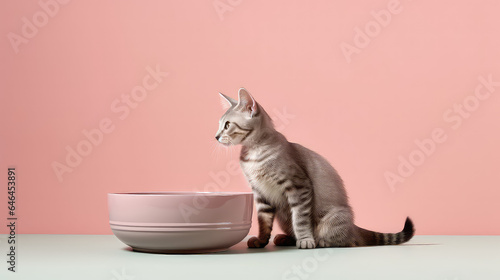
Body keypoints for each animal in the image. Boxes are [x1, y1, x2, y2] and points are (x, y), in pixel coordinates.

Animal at [215, 88, 414, 249]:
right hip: (283, 217)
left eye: (227, 125)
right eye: (219, 125)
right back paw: (286, 238)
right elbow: (263, 221)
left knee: (348, 241)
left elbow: (300, 219)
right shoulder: (260, 193)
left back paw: (319, 241)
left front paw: (305, 240)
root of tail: (354, 227)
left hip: (333, 218)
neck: (254, 154)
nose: (216, 136)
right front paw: (261, 240)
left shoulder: (299, 186)